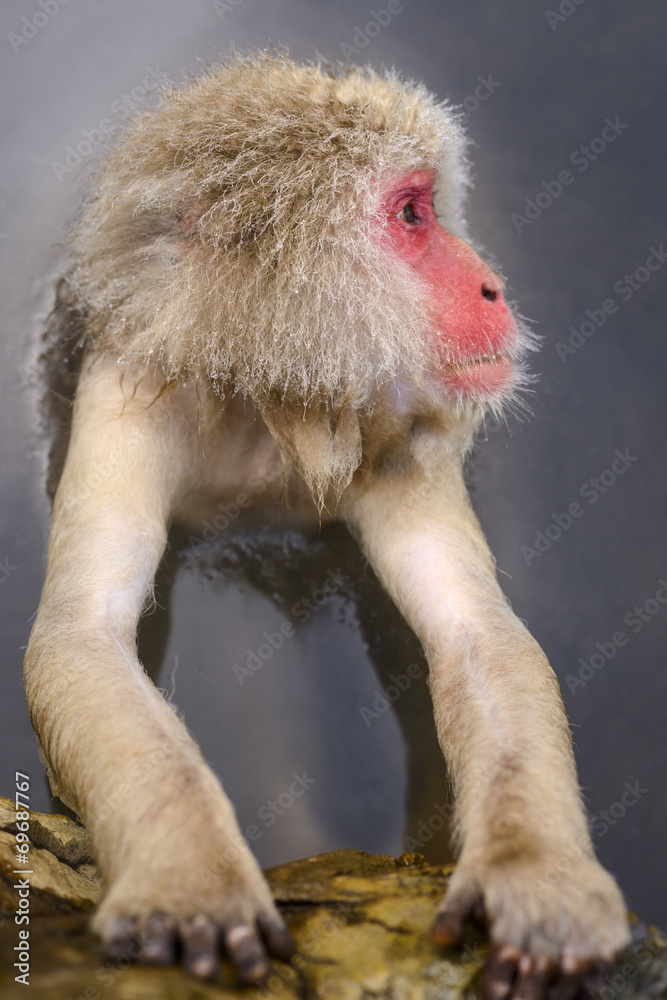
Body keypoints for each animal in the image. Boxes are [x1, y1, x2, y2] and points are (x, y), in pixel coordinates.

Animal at [27, 56, 632, 1000]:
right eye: (412, 215)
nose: (491, 284)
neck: (273, 389)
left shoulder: (408, 417)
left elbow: (474, 634)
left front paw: (534, 877)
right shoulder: (125, 390)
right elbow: (81, 634)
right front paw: (190, 879)